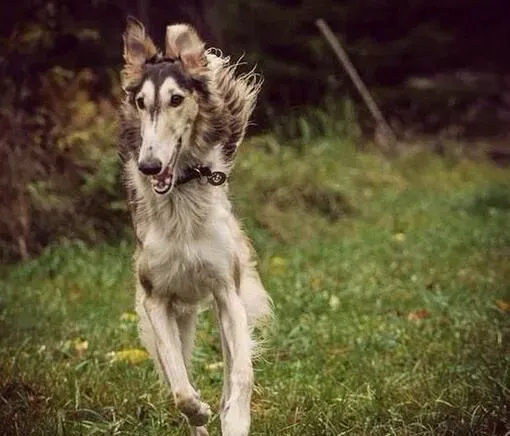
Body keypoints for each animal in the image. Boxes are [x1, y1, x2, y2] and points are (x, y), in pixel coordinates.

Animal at [118, 17, 270, 436]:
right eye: (141, 102)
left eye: (176, 99)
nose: (149, 166)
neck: (182, 205)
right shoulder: (155, 301)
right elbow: (180, 390)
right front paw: (198, 411)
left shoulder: (226, 292)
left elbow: (242, 375)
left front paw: (236, 418)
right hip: (176, 319)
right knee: (180, 374)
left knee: (232, 367)